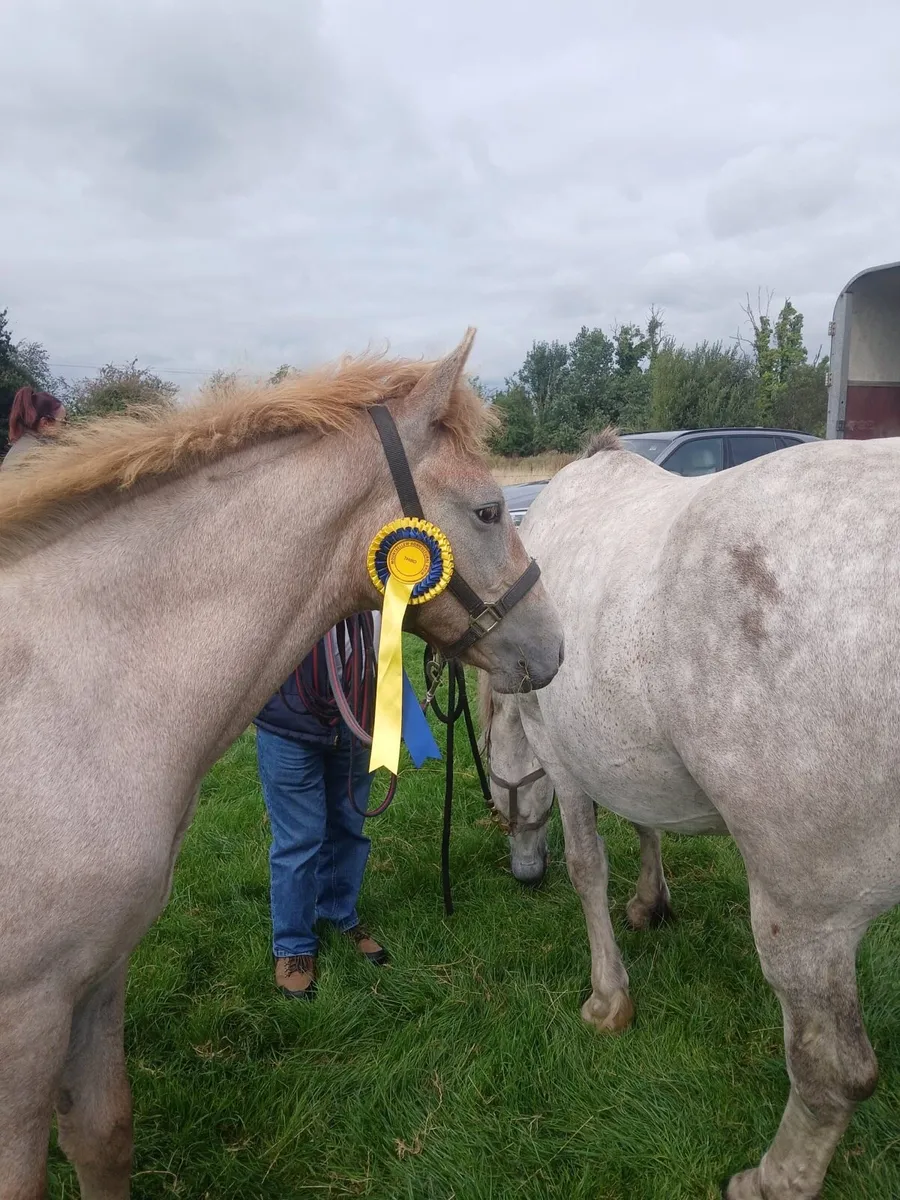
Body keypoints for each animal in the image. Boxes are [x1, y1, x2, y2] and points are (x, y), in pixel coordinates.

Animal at [0, 330, 563, 1199]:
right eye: (488, 510)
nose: (554, 646)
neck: (80, 691)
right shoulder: (26, 1015)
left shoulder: (94, 977)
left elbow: (103, 1135)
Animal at [479, 429, 900, 1200]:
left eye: (499, 799)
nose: (523, 875)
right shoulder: (624, 755)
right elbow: (645, 823)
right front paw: (651, 903)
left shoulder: (563, 759)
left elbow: (588, 868)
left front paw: (608, 1000)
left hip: (805, 916)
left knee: (835, 1072)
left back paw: (775, 1178)